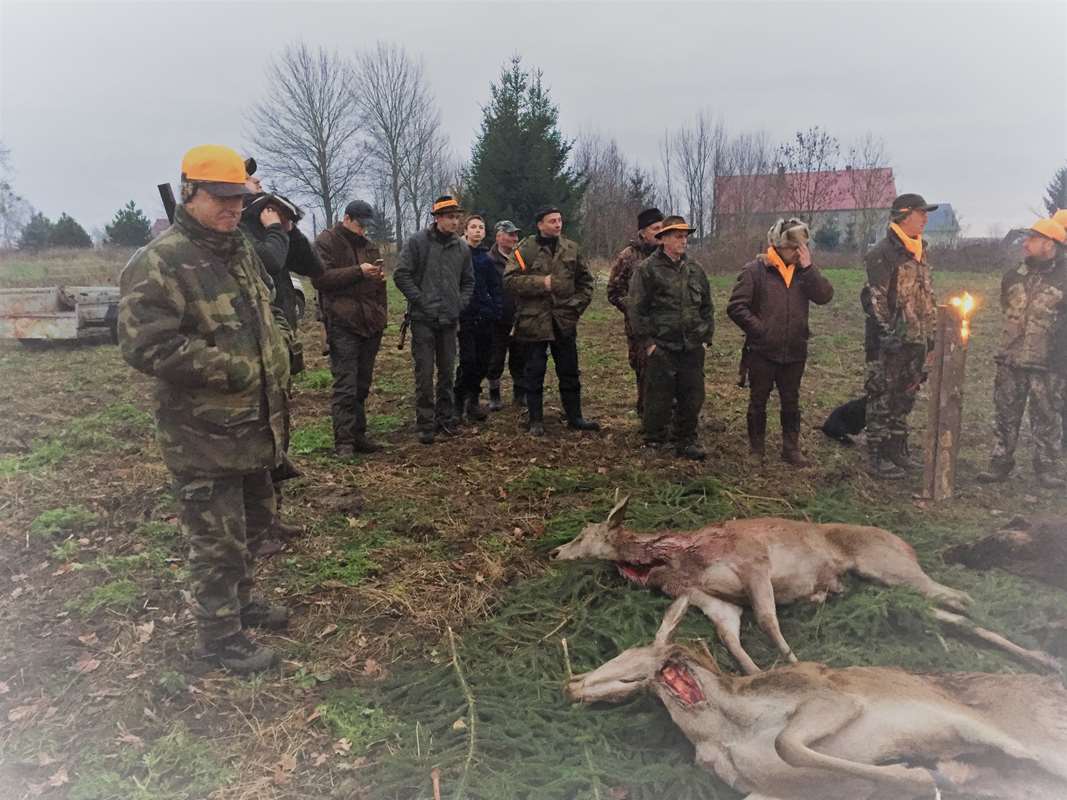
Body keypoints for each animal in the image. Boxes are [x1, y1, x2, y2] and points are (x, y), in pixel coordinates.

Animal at [549, 494, 1059, 674]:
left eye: (583, 532)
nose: (554, 552)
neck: (676, 558)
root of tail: (907, 543)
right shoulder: (711, 599)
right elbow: (731, 637)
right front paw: (757, 673)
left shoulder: (753, 561)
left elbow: (768, 620)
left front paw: (795, 664)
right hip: (881, 588)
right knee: (952, 612)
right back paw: (1039, 658)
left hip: (889, 566)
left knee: (959, 596)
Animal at [566, 597, 1067, 800]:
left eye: (625, 666)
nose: (571, 686)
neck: (729, 732)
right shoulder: (766, 790)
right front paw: (938, 772)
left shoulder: (830, 697)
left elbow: (788, 742)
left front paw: (917, 774)